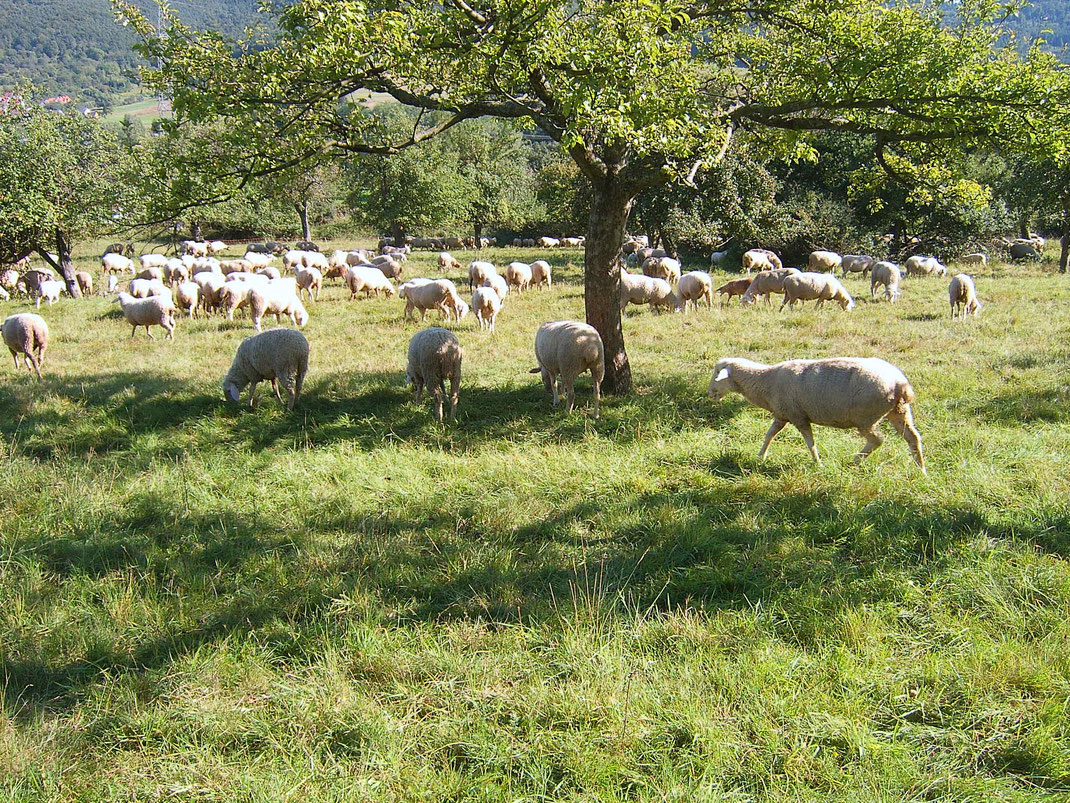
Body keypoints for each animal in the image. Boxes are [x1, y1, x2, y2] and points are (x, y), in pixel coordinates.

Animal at [706, 357, 924, 471]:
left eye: (717, 373)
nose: (709, 393)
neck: (765, 381)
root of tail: (899, 383)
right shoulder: (782, 415)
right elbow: (769, 435)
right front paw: (761, 456)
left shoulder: (798, 417)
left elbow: (810, 442)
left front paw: (817, 462)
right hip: (899, 411)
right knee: (913, 438)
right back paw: (921, 469)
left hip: (866, 417)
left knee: (877, 440)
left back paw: (853, 461)